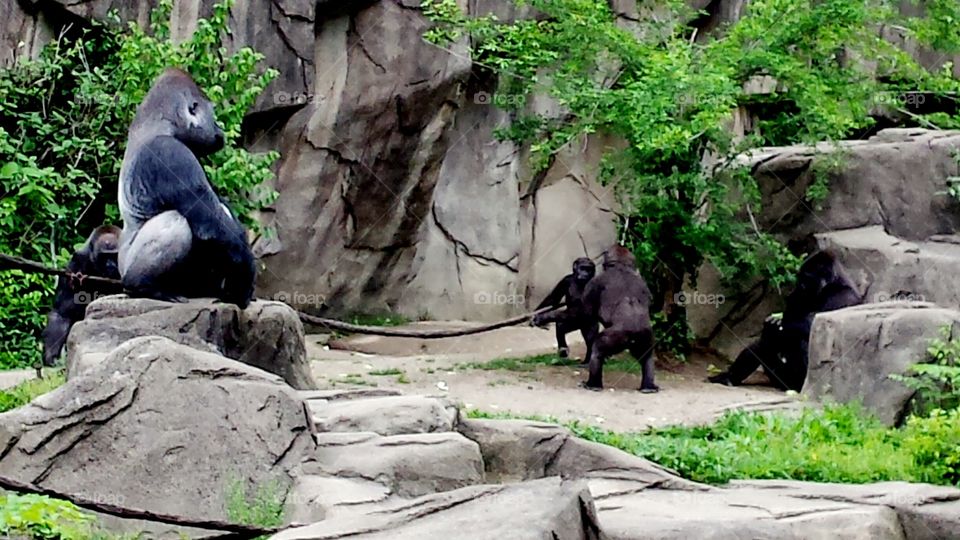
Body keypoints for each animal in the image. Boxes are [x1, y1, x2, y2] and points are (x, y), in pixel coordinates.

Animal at [41, 225, 123, 367]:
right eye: (104, 256)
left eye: (115, 256)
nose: (111, 266)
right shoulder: (75, 263)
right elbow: (62, 312)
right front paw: (51, 355)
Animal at [117, 67, 256, 308]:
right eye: (213, 115)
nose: (219, 129)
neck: (158, 125)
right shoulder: (169, 153)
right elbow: (212, 226)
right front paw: (243, 281)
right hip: (125, 269)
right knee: (176, 221)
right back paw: (143, 285)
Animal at [580, 245, 658, 393]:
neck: (621, 267)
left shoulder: (595, 282)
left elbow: (586, 315)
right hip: (646, 336)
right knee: (648, 357)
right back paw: (649, 387)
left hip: (615, 337)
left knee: (597, 349)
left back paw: (593, 384)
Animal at [708, 249, 862, 392]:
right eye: (801, 277)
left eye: (806, 278)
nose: (800, 285)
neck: (831, 285)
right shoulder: (798, 297)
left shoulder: (843, 297)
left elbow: (817, 325)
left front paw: (778, 324)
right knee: (766, 344)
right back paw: (730, 377)